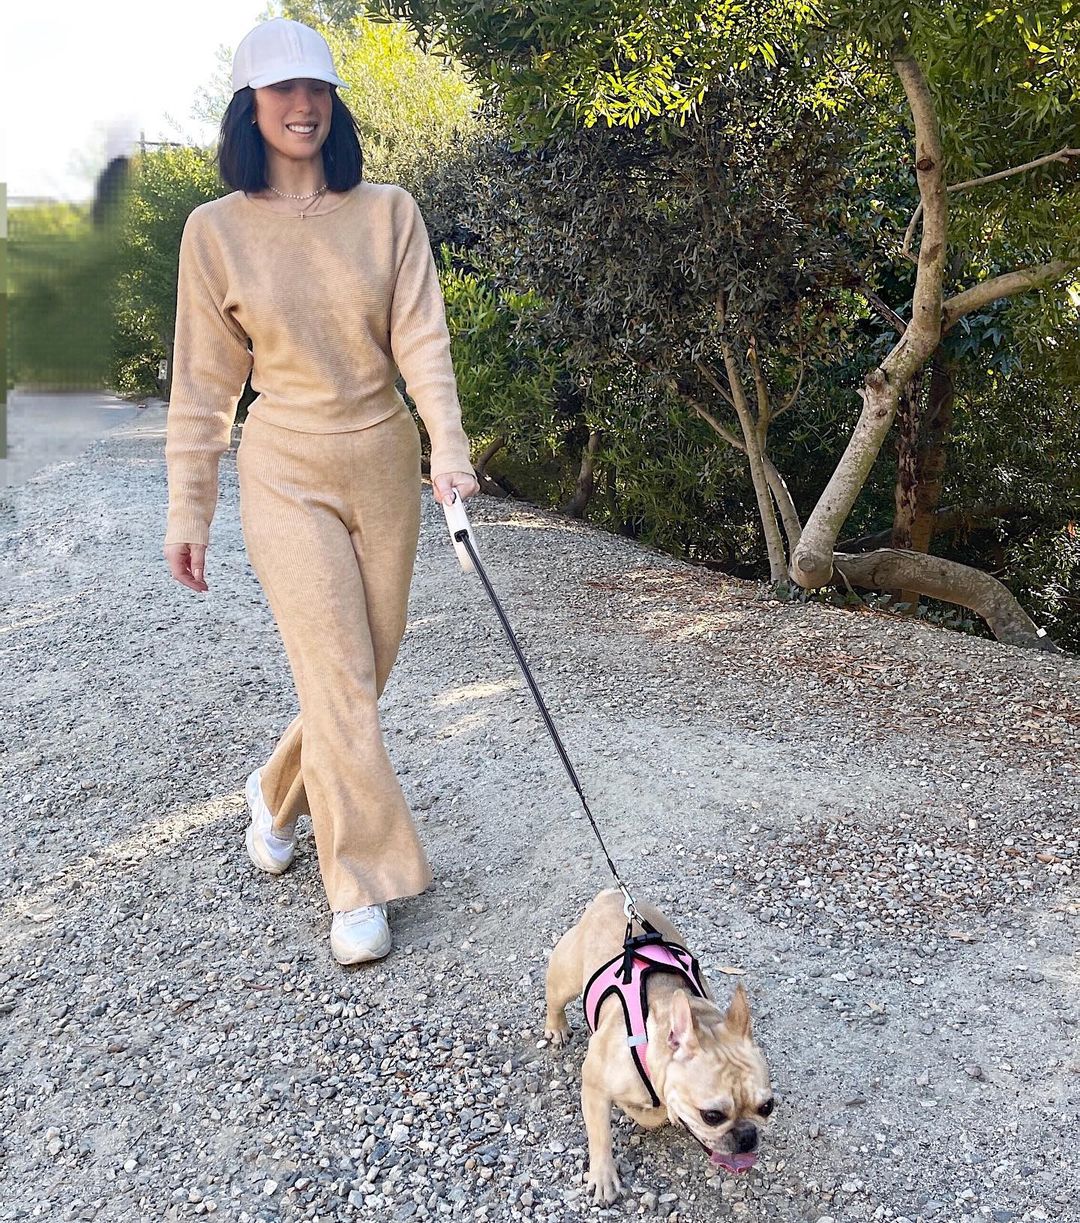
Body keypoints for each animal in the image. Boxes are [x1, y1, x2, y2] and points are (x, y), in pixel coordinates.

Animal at [545, 890, 773, 1203]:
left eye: (767, 1107)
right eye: (712, 1116)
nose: (748, 1136)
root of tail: (611, 895)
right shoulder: (595, 1083)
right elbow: (602, 1133)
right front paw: (603, 1177)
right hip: (565, 977)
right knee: (555, 999)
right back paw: (556, 1027)